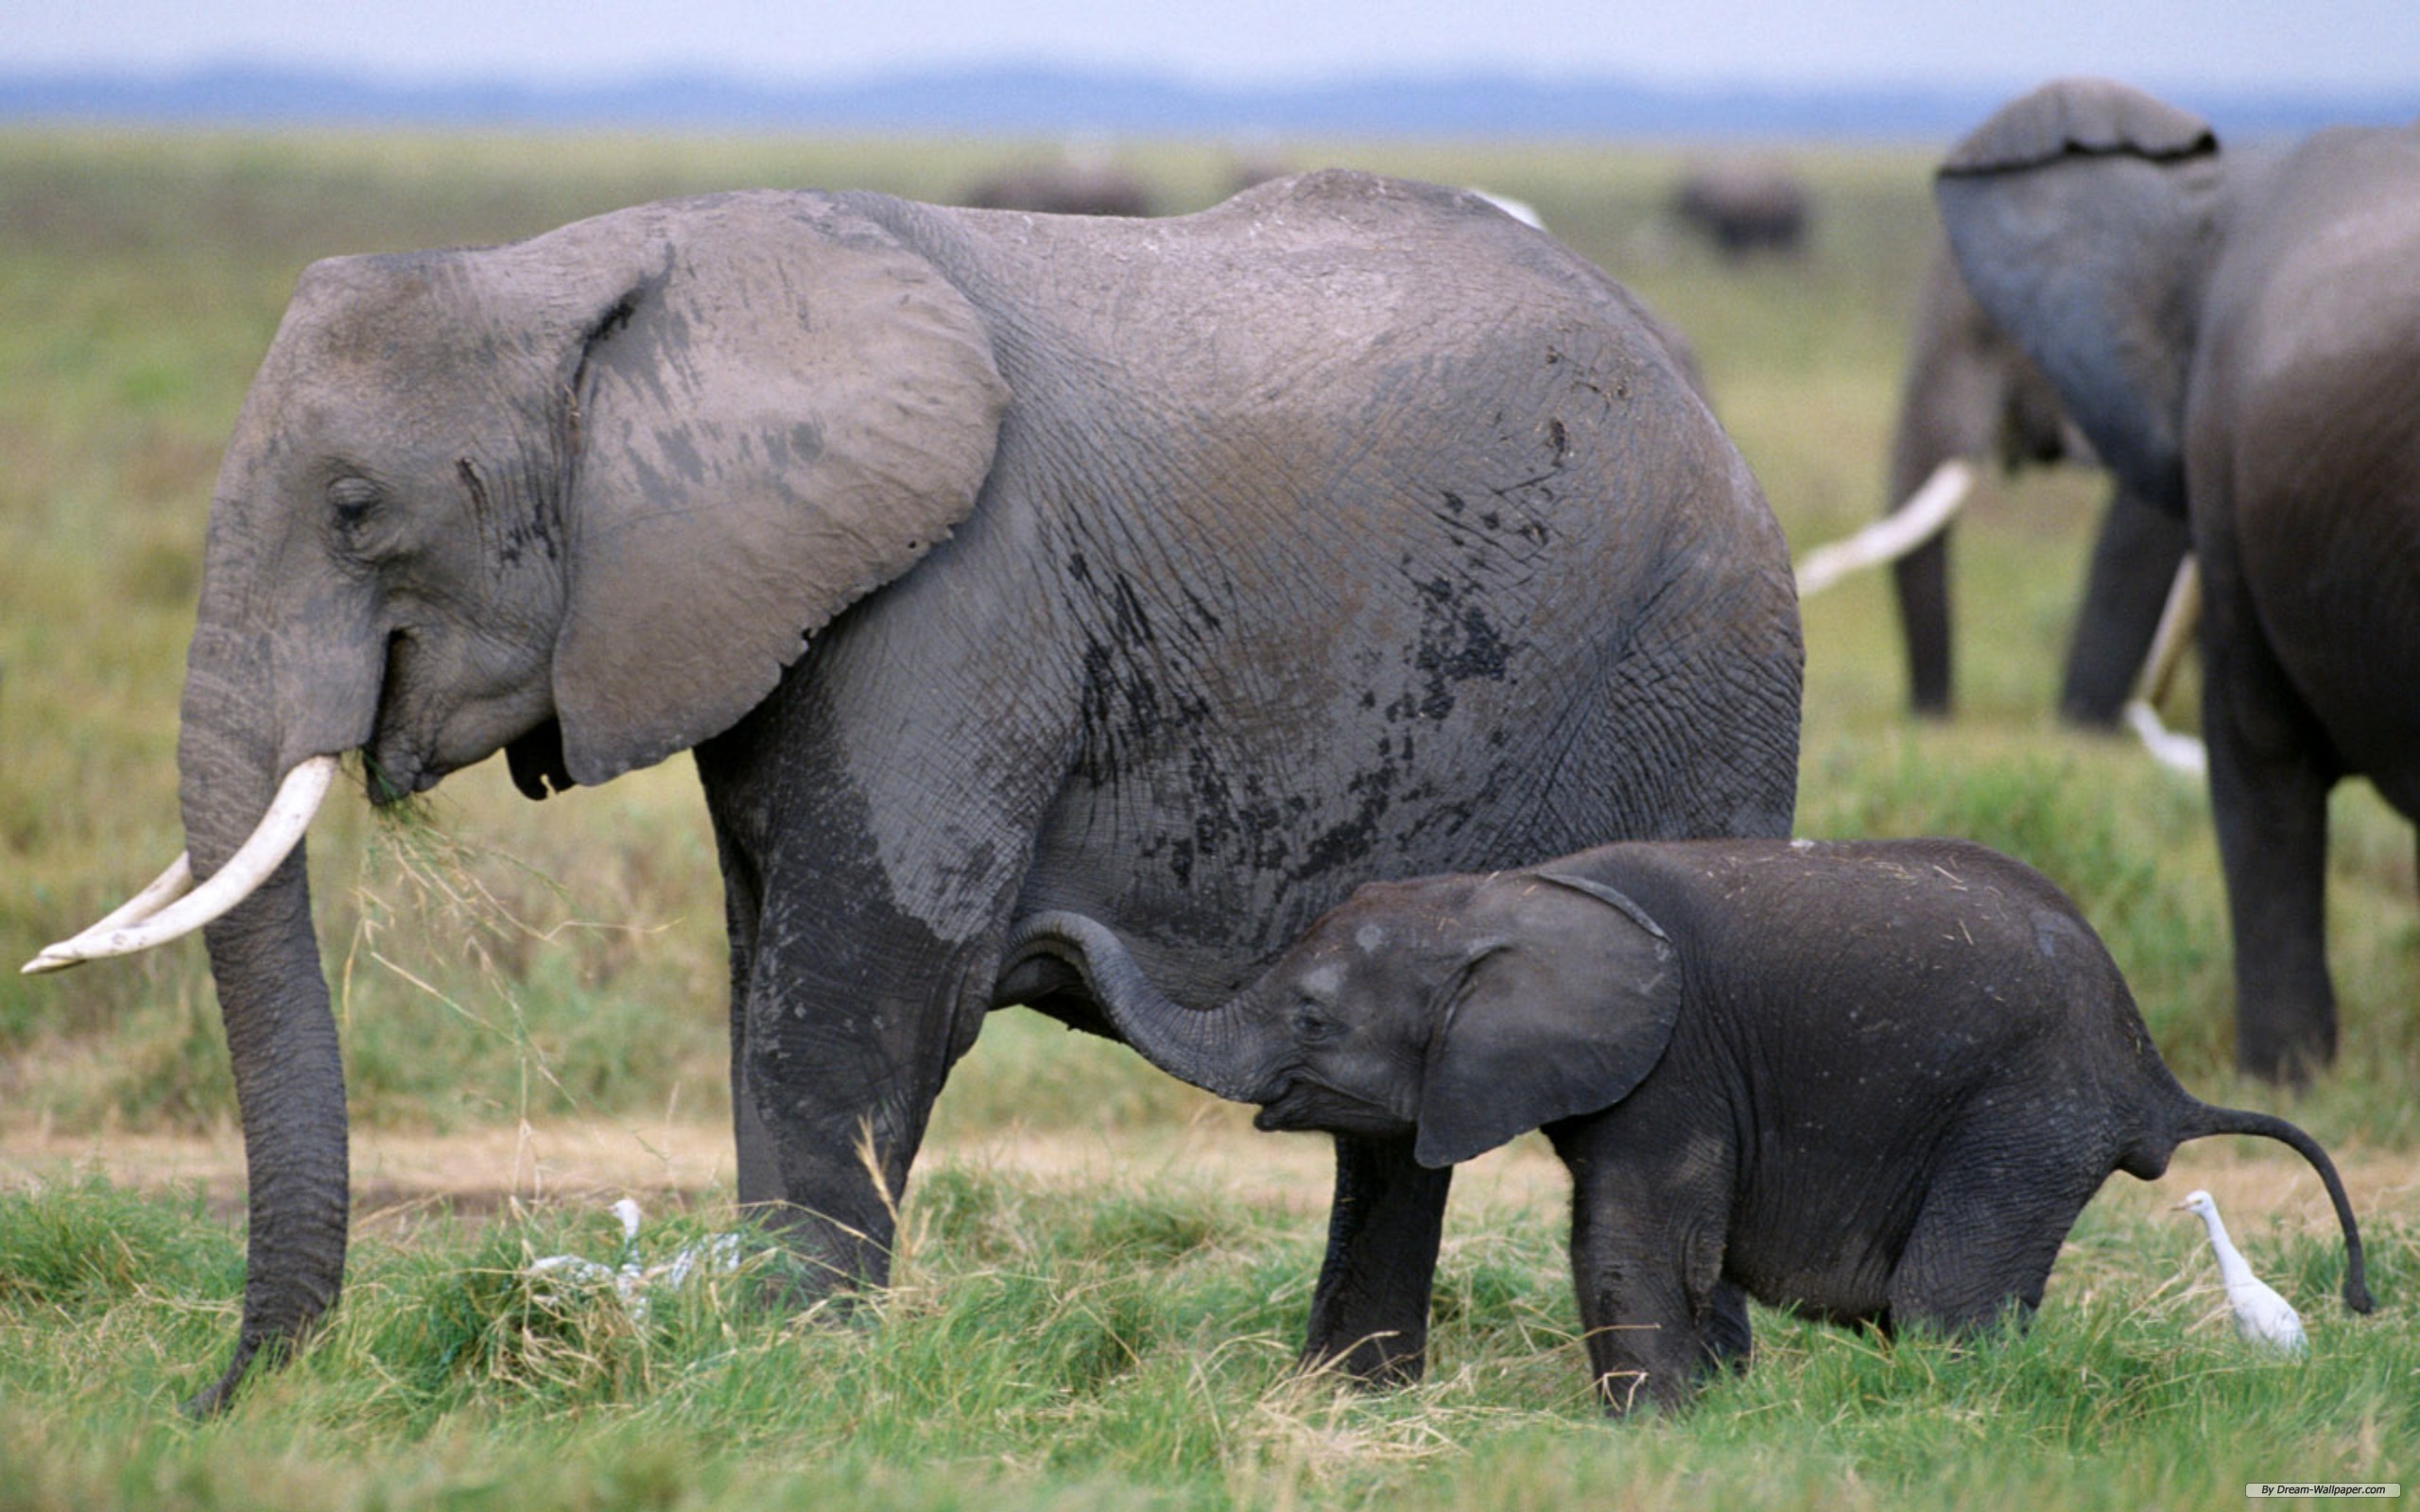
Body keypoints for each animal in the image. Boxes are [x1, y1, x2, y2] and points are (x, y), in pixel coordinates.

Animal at [19, 170, 1800, 1413]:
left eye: (357, 510)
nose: (214, 1401)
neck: (585, 268)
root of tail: (1703, 396)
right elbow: (764, 982)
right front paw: (771, 1365)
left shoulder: (964, 592)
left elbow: (861, 992)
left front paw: (792, 1389)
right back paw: (1353, 1405)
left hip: (1696, 652)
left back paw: (1692, 1409)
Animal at [1011, 832, 2371, 1413]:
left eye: (1307, 1015)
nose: (1033, 930)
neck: (1504, 895)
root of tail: (2151, 1067)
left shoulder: (1675, 1065)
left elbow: (1634, 1241)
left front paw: (1648, 1431)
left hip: (2027, 1111)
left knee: (1943, 1298)